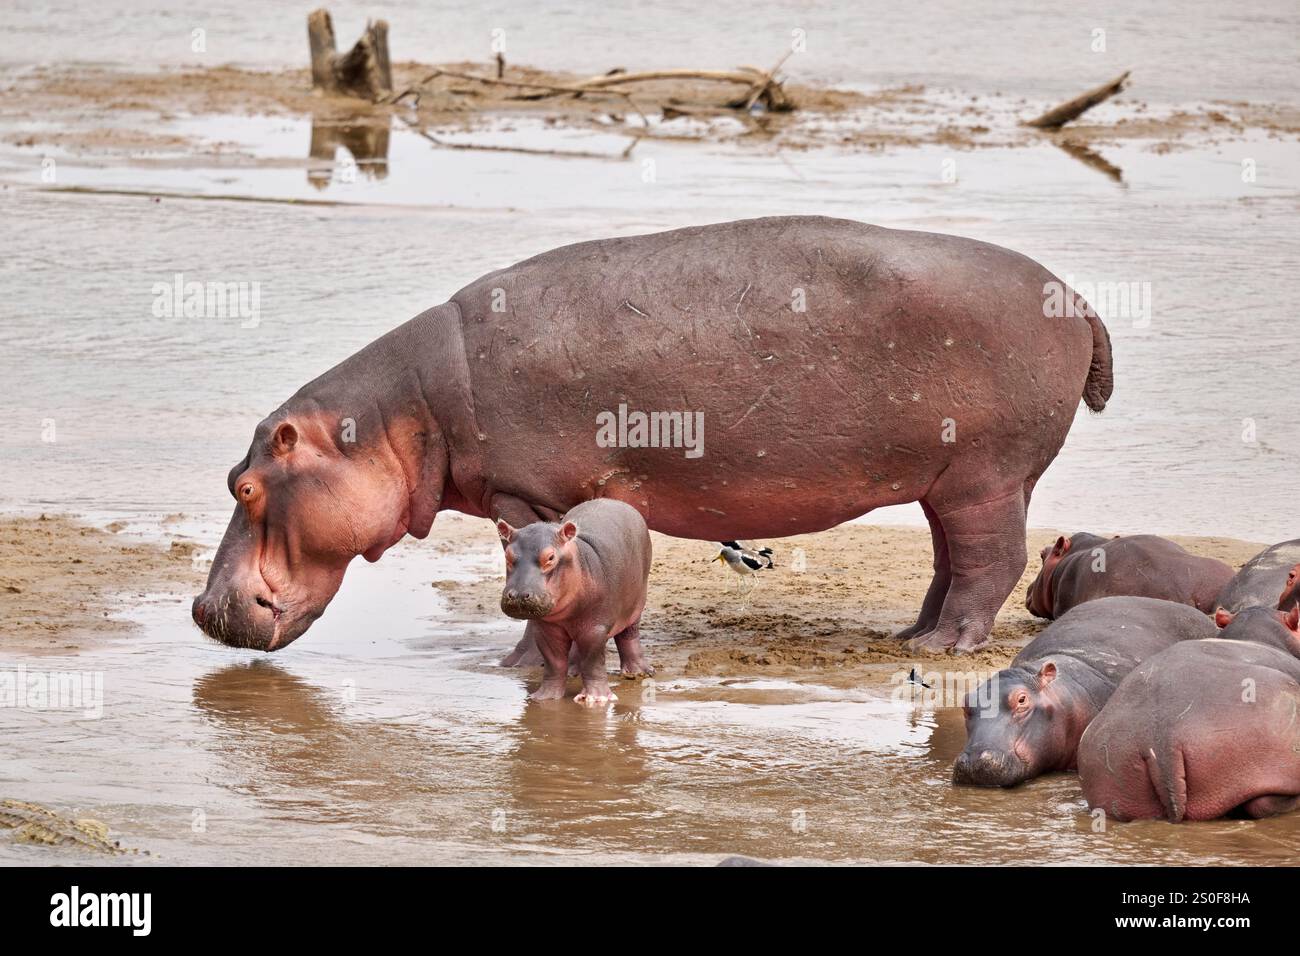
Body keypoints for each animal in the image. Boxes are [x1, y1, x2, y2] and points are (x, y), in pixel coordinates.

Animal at [191, 215, 1112, 655]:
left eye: (246, 485)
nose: (200, 608)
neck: (399, 417)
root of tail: (1079, 298)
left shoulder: (531, 493)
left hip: (986, 475)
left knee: (988, 560)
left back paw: (948, 647)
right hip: (948, 479)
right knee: (951, 560)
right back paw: (912, 637)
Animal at [495, 499, 651, 705]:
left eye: (550, 557)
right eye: (508, 556)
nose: (519, 595)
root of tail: (619, 502)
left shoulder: (595, 628)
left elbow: (593, 661)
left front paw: (596, 699)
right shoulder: (547, 628)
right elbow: (554, 661)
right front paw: (544, 697)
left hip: (635, 605)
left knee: (629, 635)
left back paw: (637, 673)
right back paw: (573, 672)